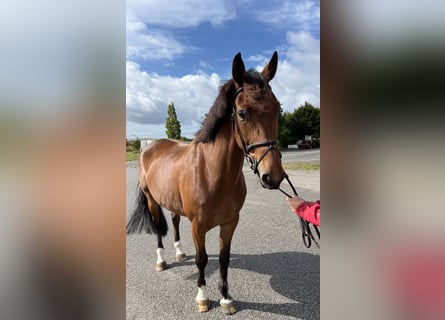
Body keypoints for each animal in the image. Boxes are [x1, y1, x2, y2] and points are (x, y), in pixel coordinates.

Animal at [125, 51, 284, 314]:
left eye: (278, 109)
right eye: (242, 113)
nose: (273, 176)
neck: (211, 172)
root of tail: (150, 147)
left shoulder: (230, 222)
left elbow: (224, 259)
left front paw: (226, 299)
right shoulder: (197, 226)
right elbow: (202, 259)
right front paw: (202, 298)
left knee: (175, 221)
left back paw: (179, 253)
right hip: (151, 200)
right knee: (158, 228)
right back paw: (162, 261)